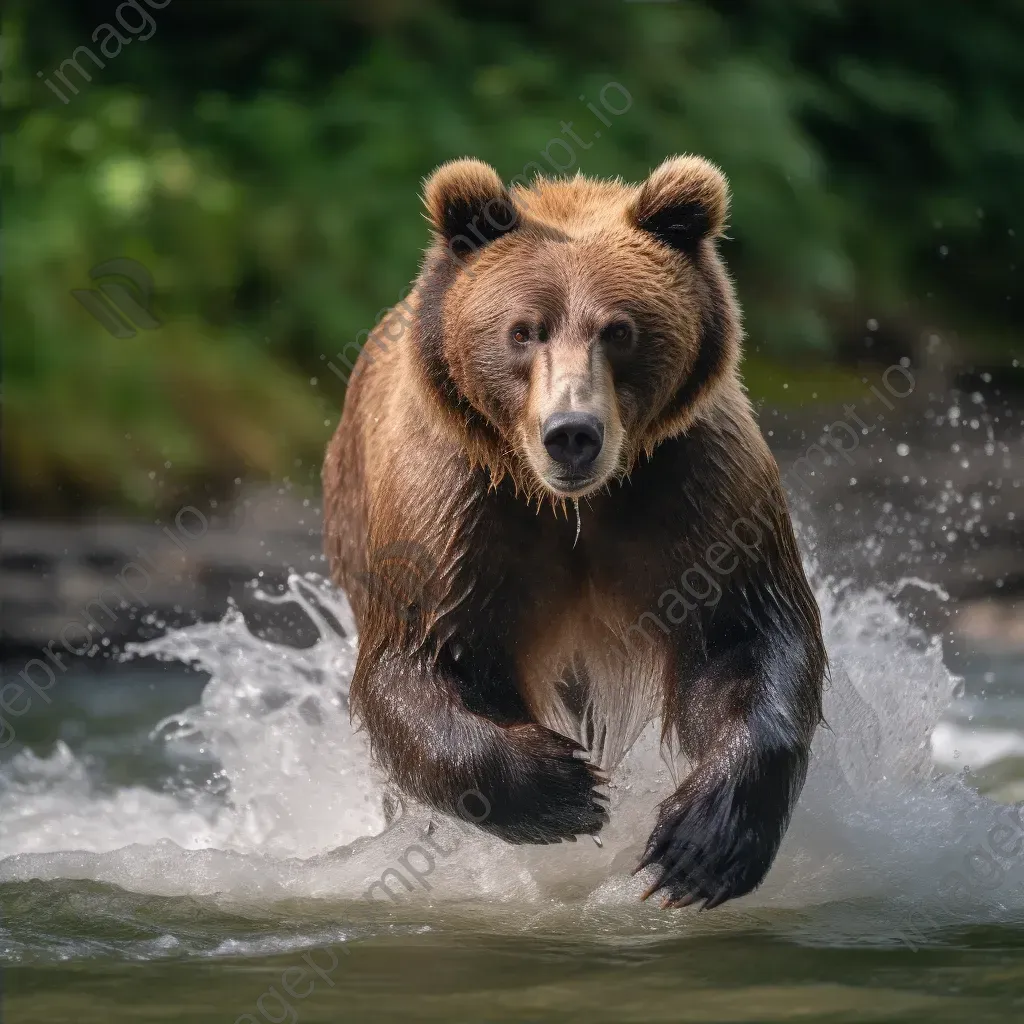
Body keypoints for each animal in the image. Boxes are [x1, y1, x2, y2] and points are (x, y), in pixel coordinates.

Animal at [323, 155, 827, 909]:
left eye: (619, 330)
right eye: (522, 330)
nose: (571, 435)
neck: (578, 507)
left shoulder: (696, 490)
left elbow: (743, 636)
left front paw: (699, 846)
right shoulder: (456, 509)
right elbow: (423, 661)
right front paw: (564, 789)